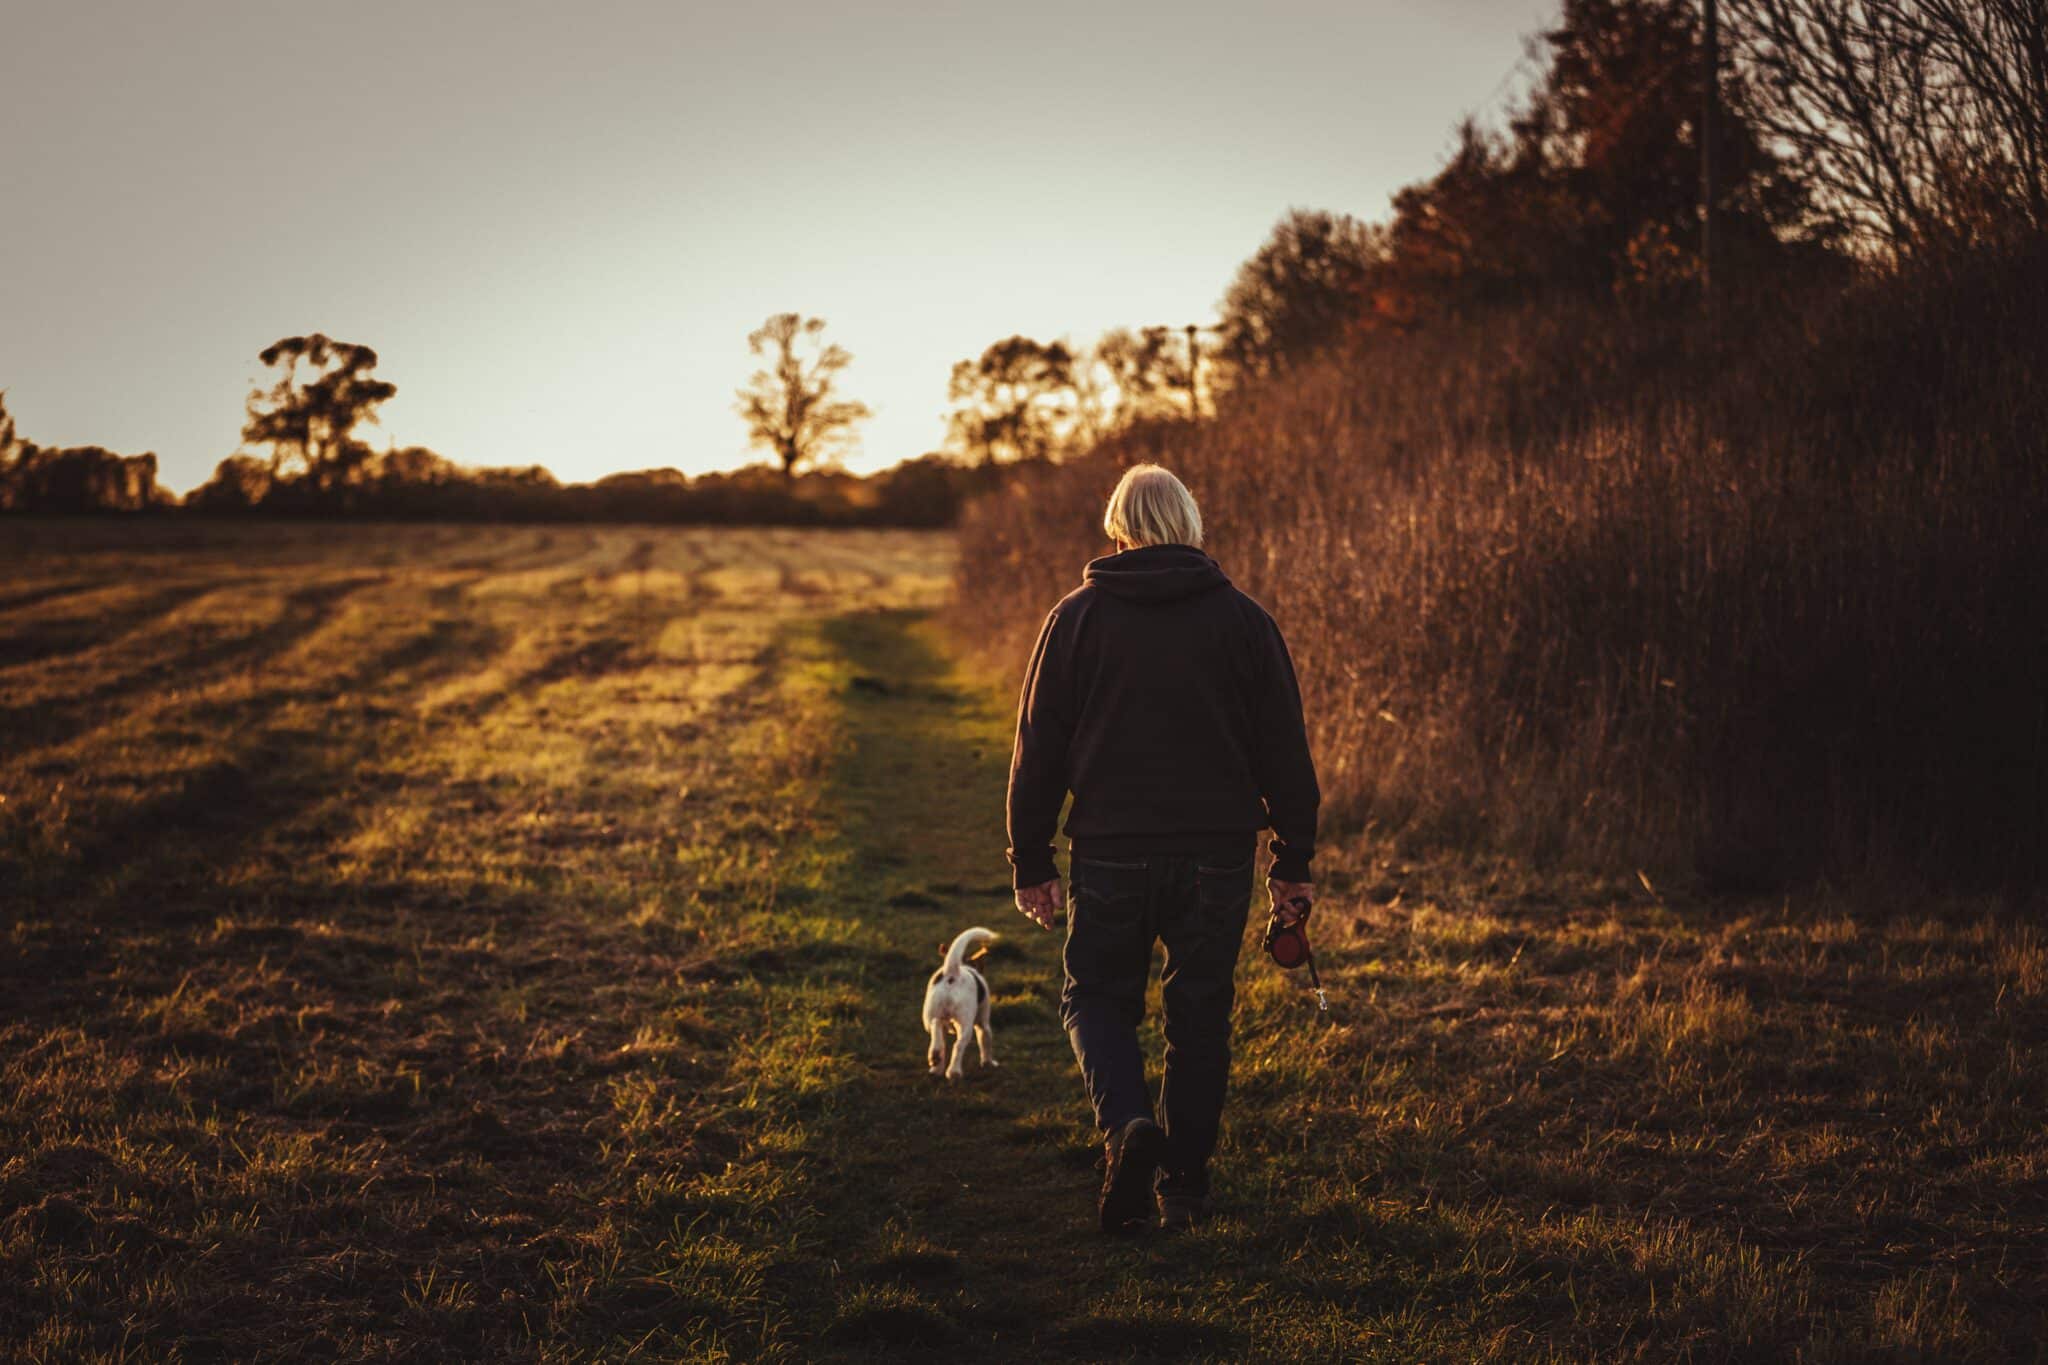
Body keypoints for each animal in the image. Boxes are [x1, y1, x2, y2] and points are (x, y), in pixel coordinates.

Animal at [925, 925, 995, 1080]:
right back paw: (954, 1072)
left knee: (936, 1026)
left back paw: (935, 1058)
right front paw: (989, 1062)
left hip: (931, 1014)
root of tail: (953, 973)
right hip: (966, 1024)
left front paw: (937, 1066)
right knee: (958, 1045)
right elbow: (986, 1041)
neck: (965, 964)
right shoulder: (983, 1023)